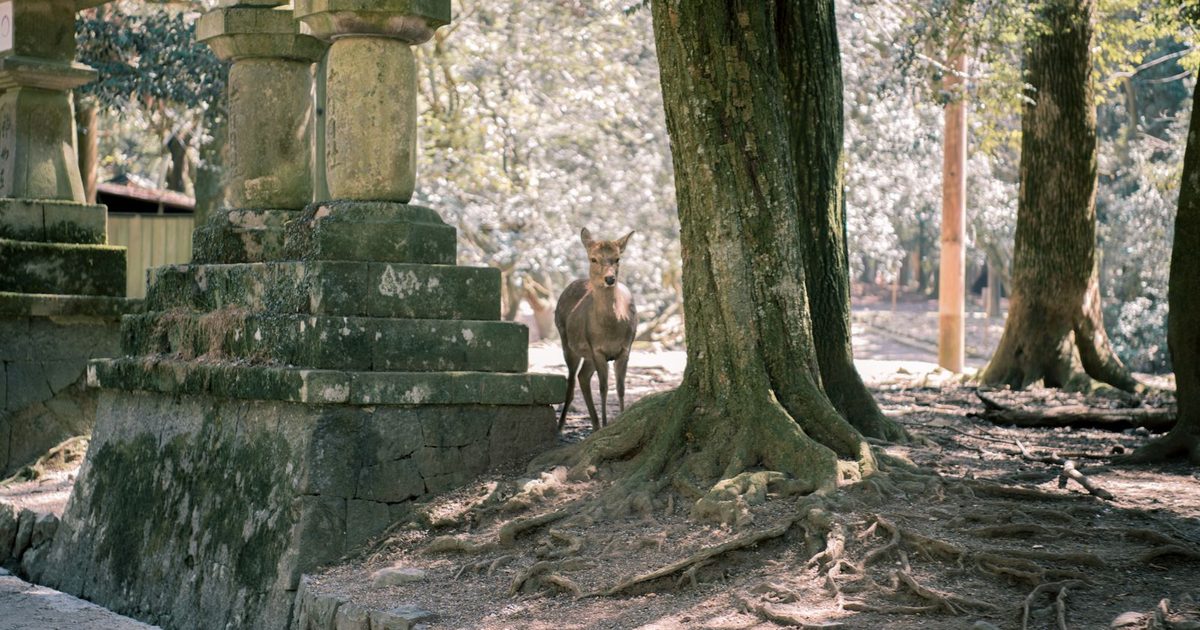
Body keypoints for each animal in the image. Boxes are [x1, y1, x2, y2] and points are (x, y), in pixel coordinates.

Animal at [555, 228, 637, 432]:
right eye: (593, 259)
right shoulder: (597, 349)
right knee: (571, 382)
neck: (611, 329)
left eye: (617, 258)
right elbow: (603, 387)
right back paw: (560, 427)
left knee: (583, 376)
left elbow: (620, 388)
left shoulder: (626, 348)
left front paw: (618, 420)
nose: (610, 279)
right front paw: (608, 424)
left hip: (588, 355)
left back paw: (595, 425)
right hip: (566, 341)